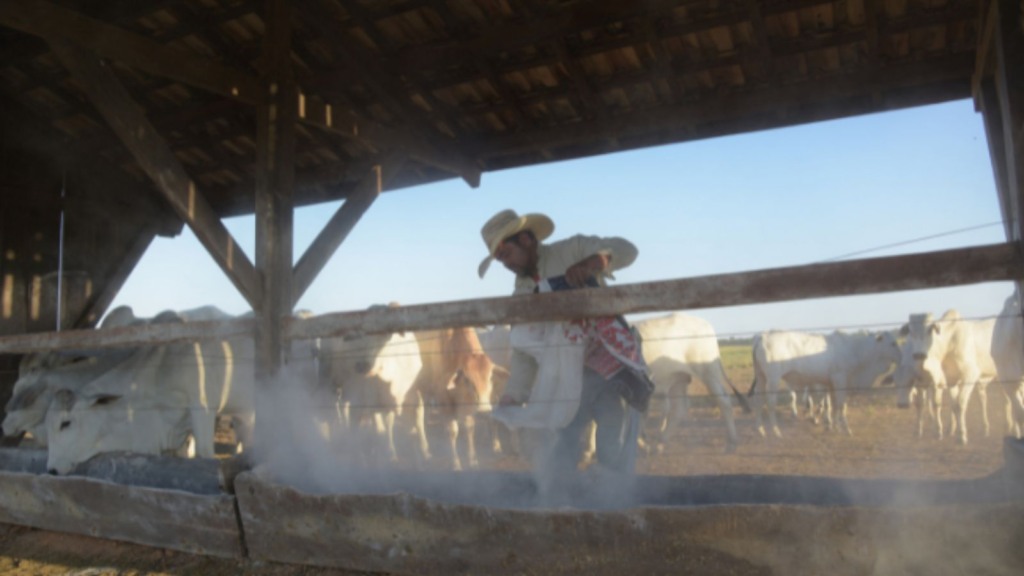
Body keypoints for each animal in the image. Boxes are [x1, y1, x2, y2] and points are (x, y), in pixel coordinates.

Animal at [749, 327, 901, 434]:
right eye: (893, 343)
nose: (901, 355)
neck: (856, 350)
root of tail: (762, 336)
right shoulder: (840, 380)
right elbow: (841, 405)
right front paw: (846, 428)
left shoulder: (831, 383)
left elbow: (833, 406)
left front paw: (834, 426)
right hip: (773, 378)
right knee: (770, 403)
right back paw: (776, 431)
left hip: (761, 377)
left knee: (758, 399)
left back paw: (760, 429)